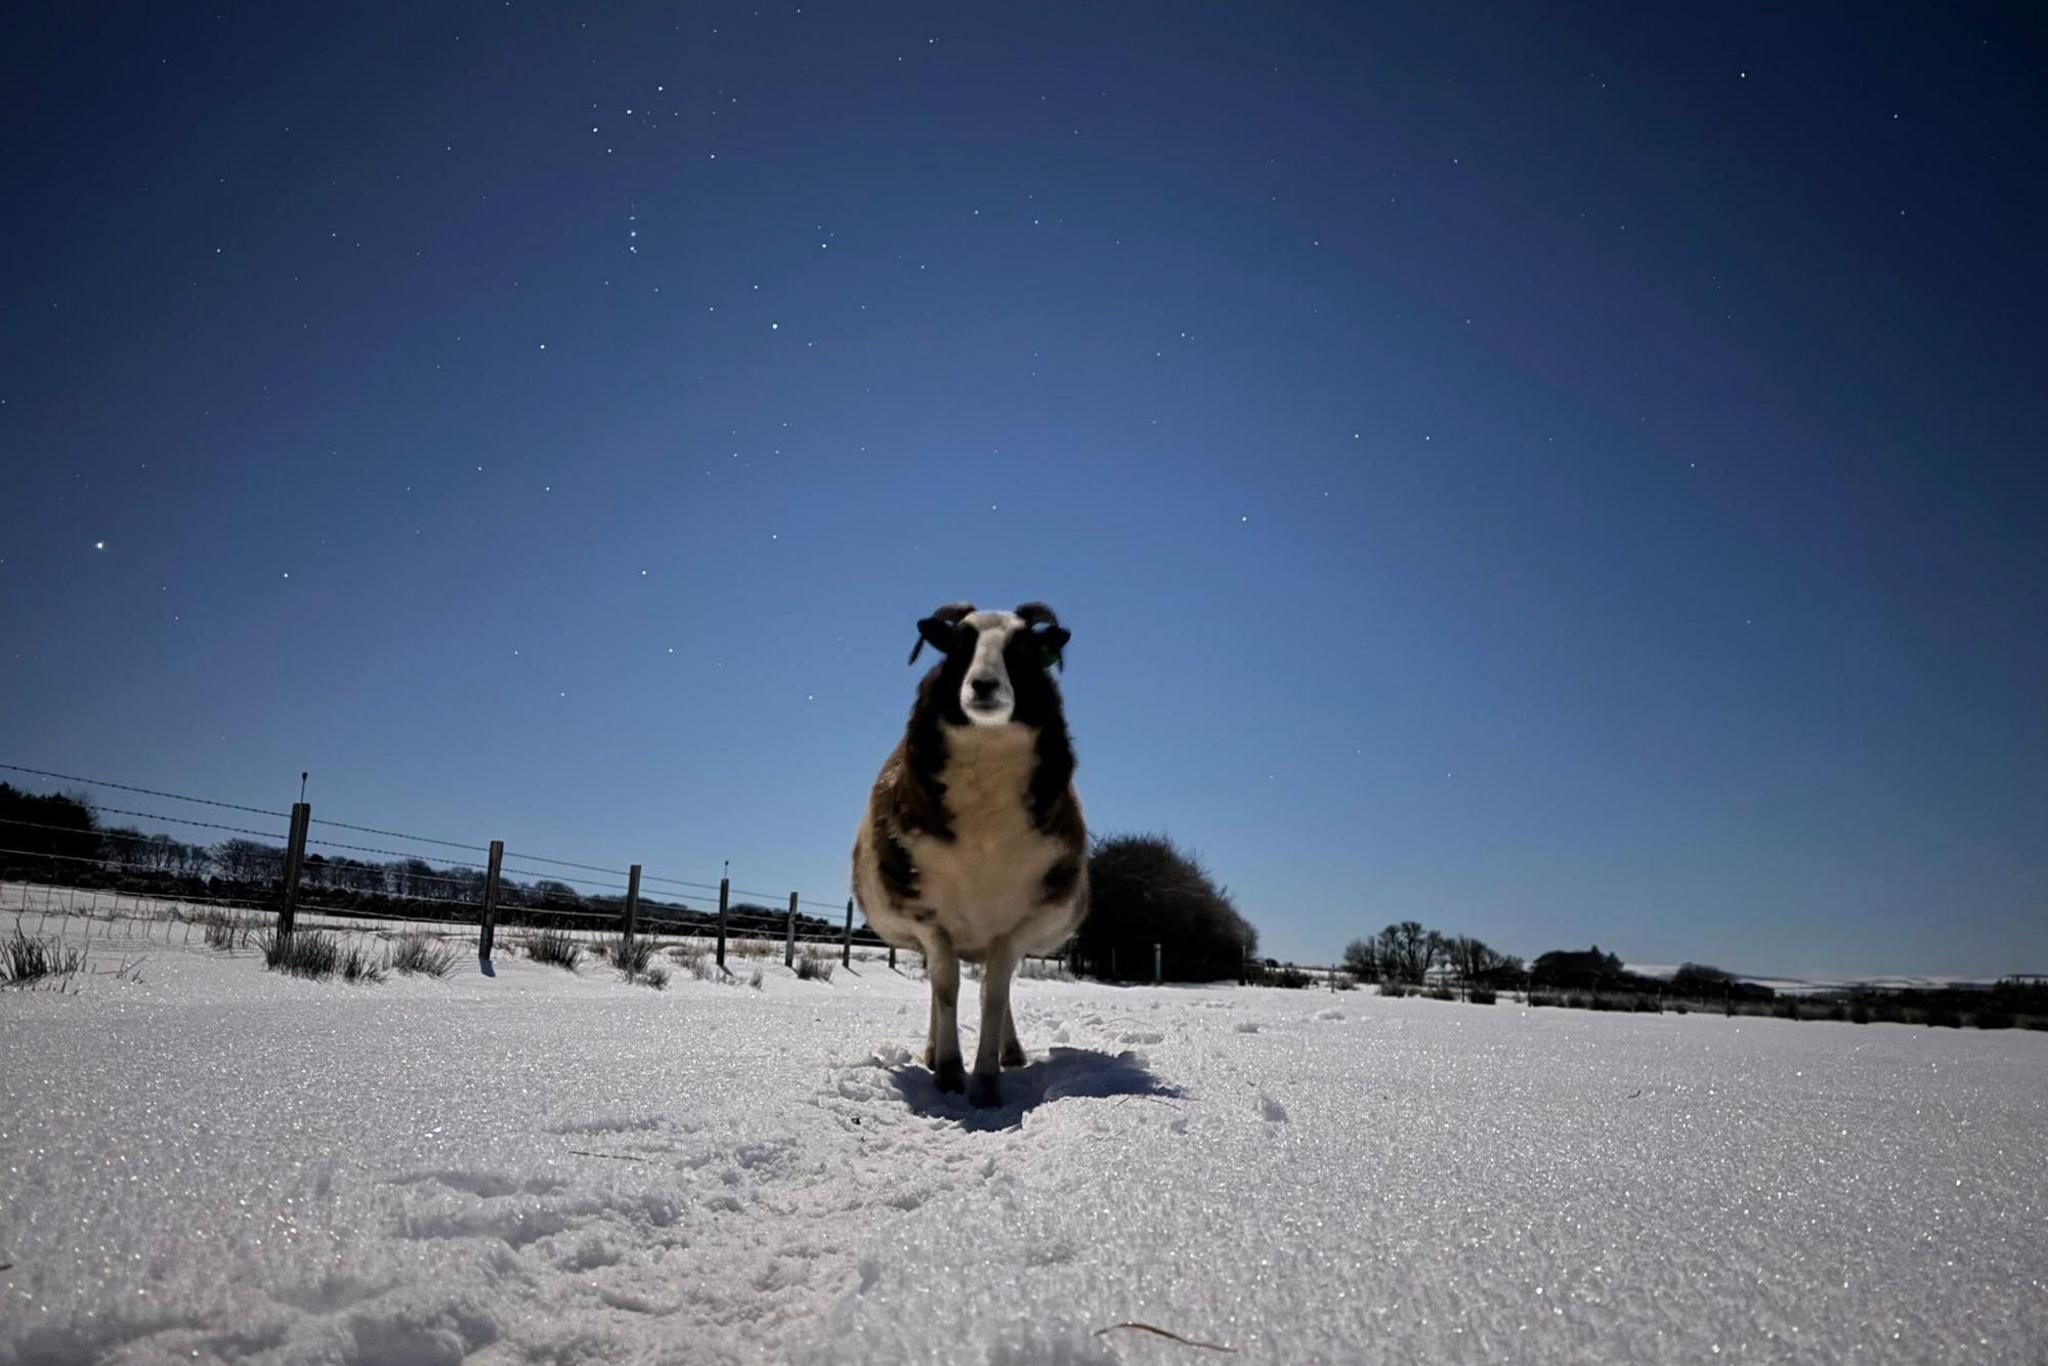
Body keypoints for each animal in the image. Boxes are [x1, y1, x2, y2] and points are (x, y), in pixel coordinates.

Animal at [851, 602, 1089, 1105]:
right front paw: (947, 1071)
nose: (983, 685)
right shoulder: (930, 919)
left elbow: (994, 997)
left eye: (1024, 648)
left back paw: (1010, 1052)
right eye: (959, 644)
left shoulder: (1016, 927)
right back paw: (931, 1050)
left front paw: (985, 1082)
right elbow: (946, 990)